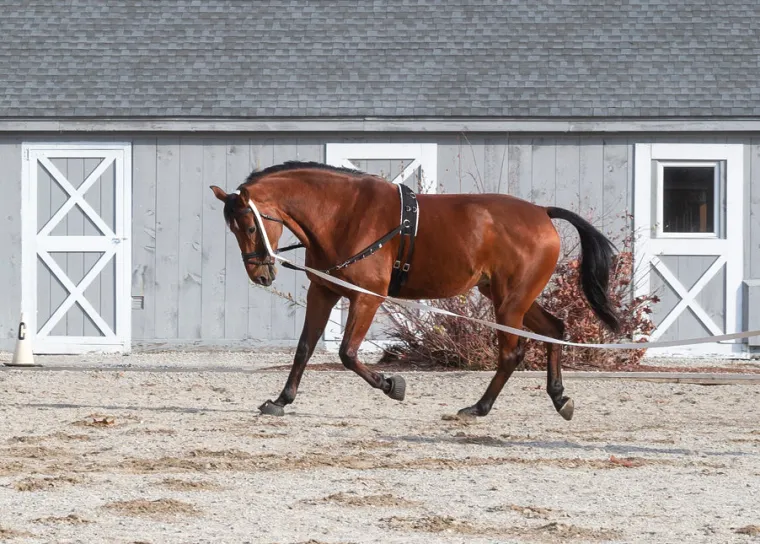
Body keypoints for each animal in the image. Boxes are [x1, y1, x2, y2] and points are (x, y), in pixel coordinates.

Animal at [209, 161, 620, 420]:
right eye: (233, 228)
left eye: (249, 225)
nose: (260, 274)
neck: (343, 214)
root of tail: (541, 212)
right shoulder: (323, 292)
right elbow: (304, 349)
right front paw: (281, 400)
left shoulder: (367, 297)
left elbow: (347, 353)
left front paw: (392, 384)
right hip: (509, 297)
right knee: (554, 330)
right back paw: (559, 397)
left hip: (511, 302)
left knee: (511, 353)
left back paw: (479, 408)